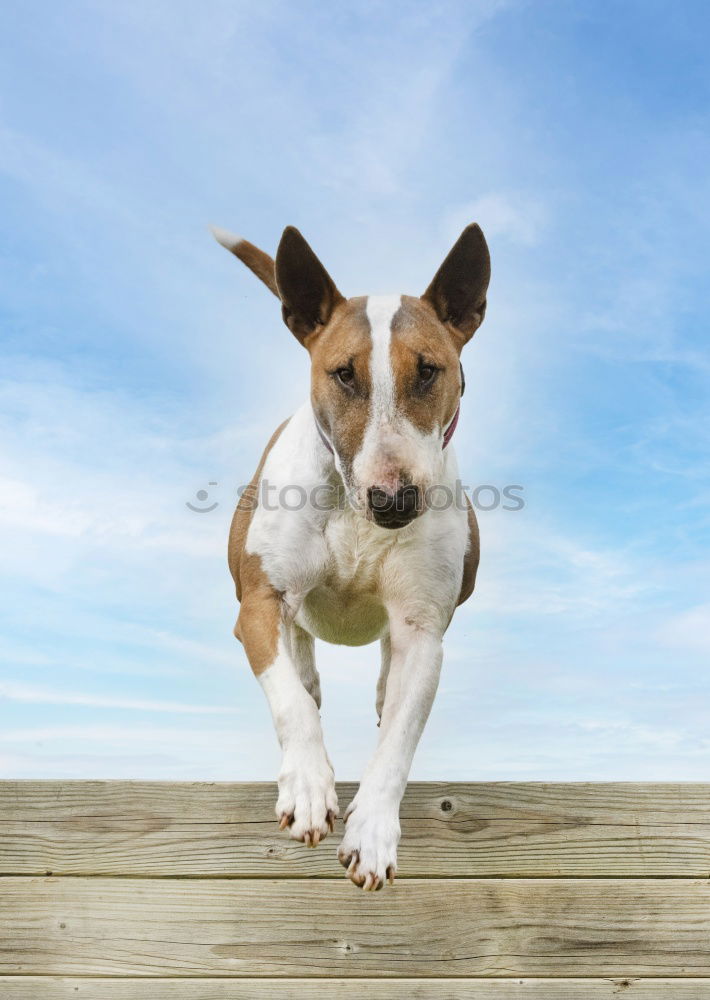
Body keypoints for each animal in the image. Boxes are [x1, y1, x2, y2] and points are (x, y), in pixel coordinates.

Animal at [211, 225, 490, 892]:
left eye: (429, 371)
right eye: (342, 374)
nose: (393, 498)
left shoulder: (422, 628)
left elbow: (400, 740)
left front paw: (373, 833)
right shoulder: (260, 602)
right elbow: (289, 701)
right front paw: (310, 787)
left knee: (385, 680)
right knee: (301, 667)